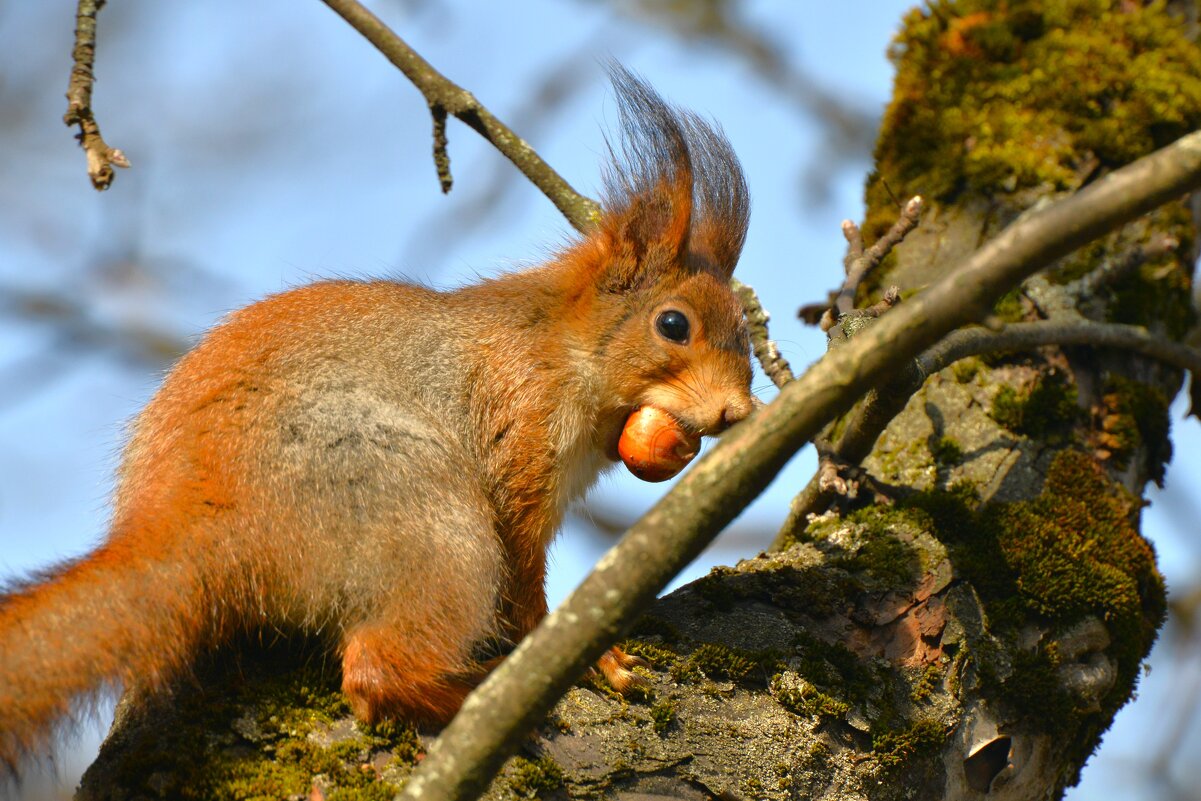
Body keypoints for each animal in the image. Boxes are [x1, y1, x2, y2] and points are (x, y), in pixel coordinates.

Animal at [0, 67, 749, 768]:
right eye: (673, 324)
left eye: (744, 329)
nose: (737, 410)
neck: (559, 347)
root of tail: (194, 523)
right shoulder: (521, 427)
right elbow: (523, 574)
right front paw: (586, 654)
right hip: (424, 518)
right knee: (375, 671)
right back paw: (470, 692)